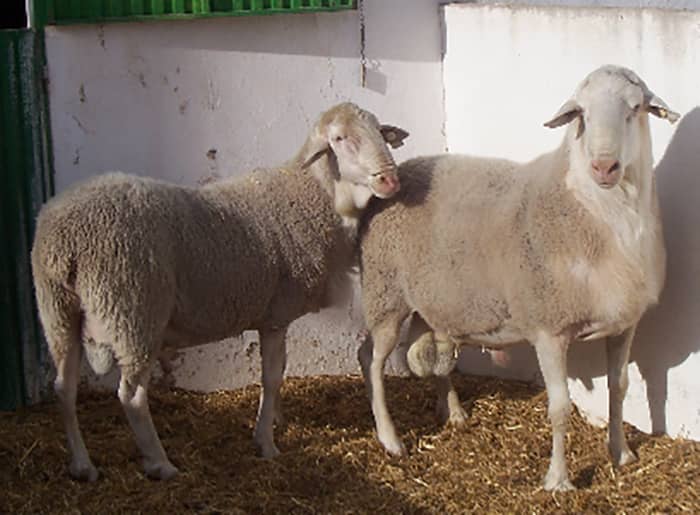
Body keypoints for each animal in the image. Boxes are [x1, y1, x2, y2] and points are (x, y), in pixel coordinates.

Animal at [31, 103, 410, 482]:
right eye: (340, 138)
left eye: (381, 132)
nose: (390, 181)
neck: (315, 193)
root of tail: (65, 239)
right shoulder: (276, 313)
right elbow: (271, 377)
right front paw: (265, 441)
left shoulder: (274, 314)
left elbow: (278, 372)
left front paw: (276, 421)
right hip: (134, 313)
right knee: (132, 395)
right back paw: (159, 463)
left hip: (58, 312)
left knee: (64, 387)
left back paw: (82, 465)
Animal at [356, 66, 680, 494]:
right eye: (581, 114)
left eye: (635, 108)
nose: (604, 167)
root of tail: (395, 176)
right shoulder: (548, 327)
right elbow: (559, 408)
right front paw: (558, 481)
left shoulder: (625, 323)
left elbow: (620, 387)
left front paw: (621, 453)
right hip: (385, 294)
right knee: (371, 360)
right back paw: (390, 439)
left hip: (434, 301)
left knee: (437, 359)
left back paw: (452, 412)